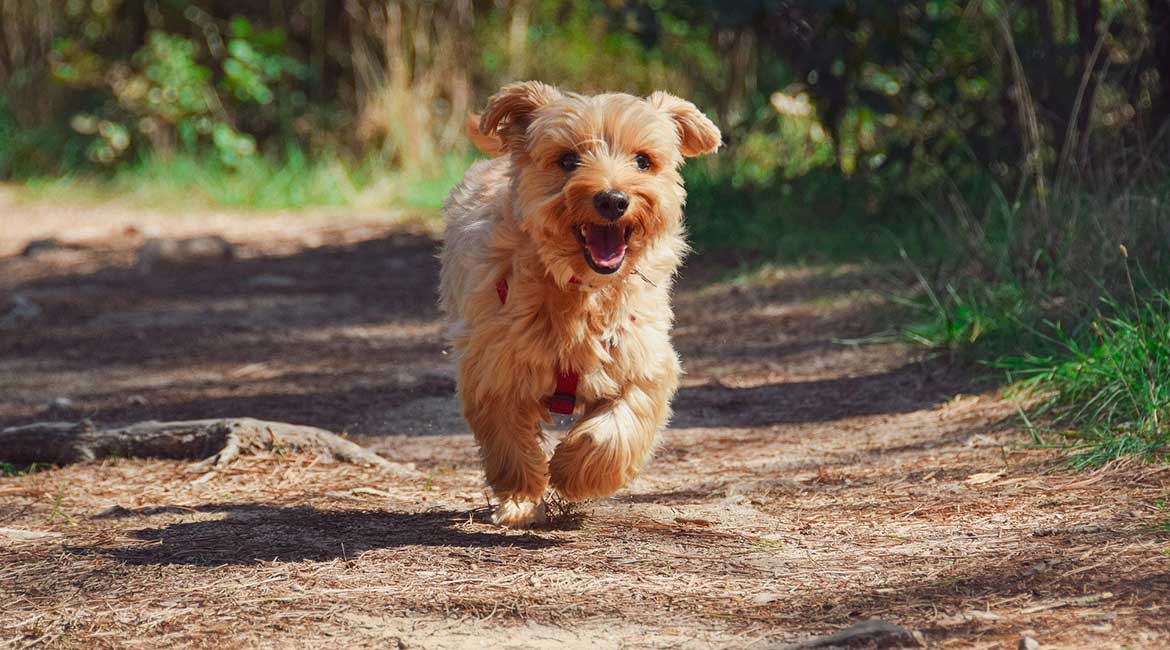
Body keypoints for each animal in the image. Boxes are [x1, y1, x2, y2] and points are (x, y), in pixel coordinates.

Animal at [439, 81, 721, 527]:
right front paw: (521, 497)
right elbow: (509, 441)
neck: (581, 291)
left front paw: (573, 471)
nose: (613, 200)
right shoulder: (493, 367)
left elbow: (618, 427)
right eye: (568, 159)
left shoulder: (644, 360)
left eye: (643, 160)